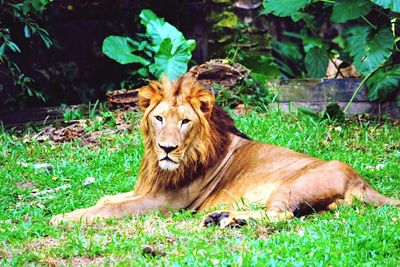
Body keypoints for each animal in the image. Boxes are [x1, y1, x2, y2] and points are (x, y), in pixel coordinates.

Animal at [50, 76, 400, 228]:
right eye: (159, 118)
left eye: (185, 121)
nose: (167, 148)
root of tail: (361, 180)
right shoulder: (147, 189)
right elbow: (108, 199)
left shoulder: (166, 203)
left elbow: (112, 209)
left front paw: (64, 217)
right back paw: (222, 217)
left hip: (291, 186)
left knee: (282, 215)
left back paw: (228, 218)